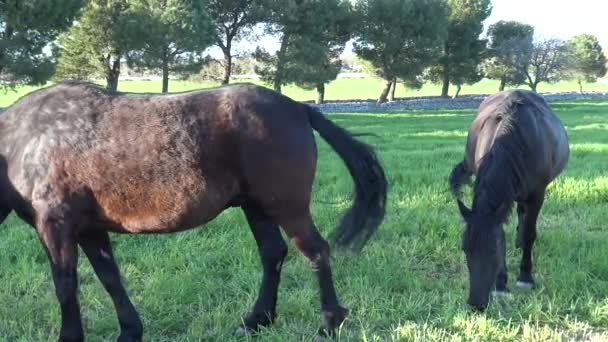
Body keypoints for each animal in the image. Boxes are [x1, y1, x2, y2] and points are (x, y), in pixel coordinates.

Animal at [0, 81, 388, 340]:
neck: (25, 140)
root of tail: (298, 108)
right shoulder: (89, 229)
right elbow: (110, 278)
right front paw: (130, 330)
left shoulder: (56, 225)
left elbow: (65, 285)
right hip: (256, 208)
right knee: (272, 254)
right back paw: (257, 319)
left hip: (286, 207)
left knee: (316, 252)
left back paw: (329, 323)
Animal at [448, 89, 568, 312]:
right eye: (465, 249)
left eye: (493, 251)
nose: (476, 304)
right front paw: (501, 285)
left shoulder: (536, 195)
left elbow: (530, 233)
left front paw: (525, 277)